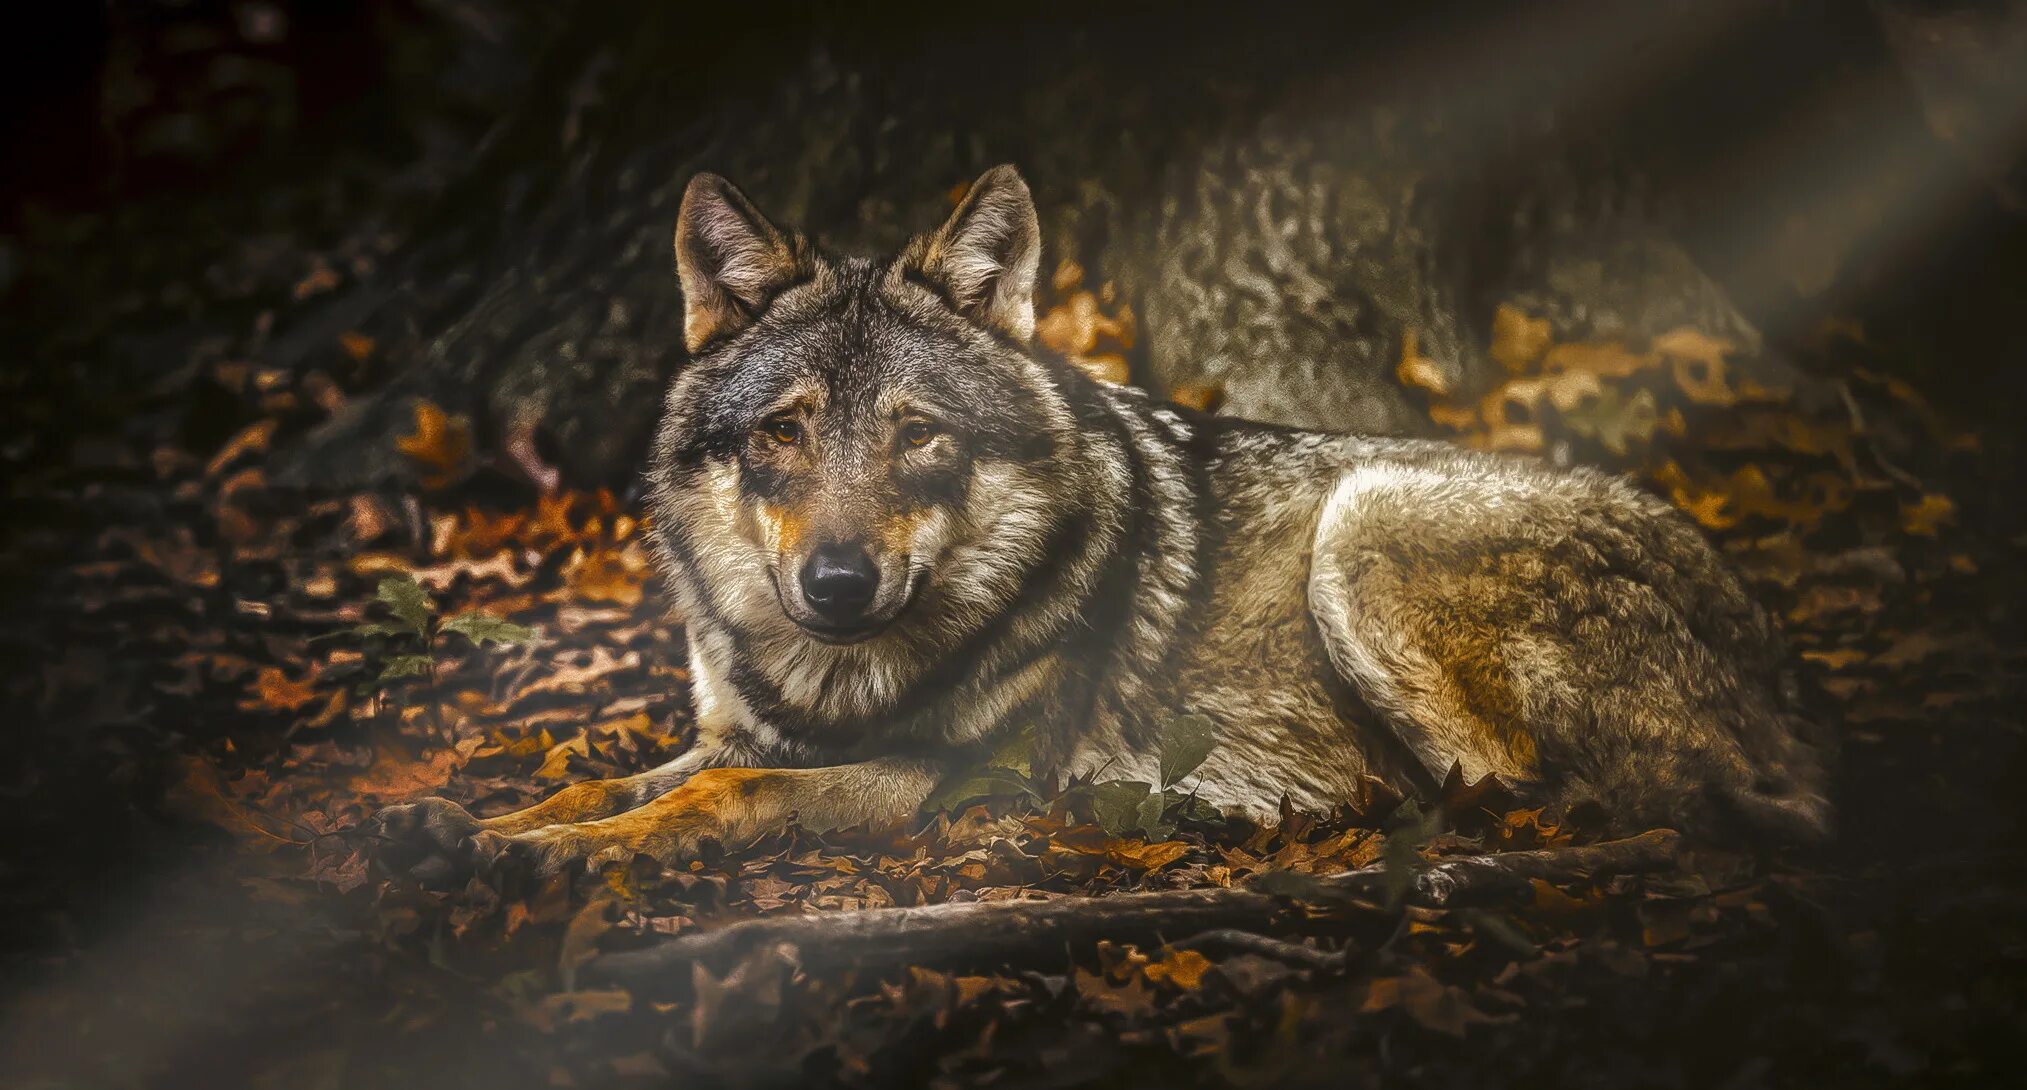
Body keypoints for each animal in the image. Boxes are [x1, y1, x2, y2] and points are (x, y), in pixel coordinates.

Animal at [368, 165, 1840, 879]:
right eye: (781, 431)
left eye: (918, 434)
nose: (836, 584)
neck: (829, 679)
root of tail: (1770, 646)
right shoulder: (747, 724)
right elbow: (626, 778)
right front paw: (487, 827)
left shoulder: (944, 778)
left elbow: (721, 797)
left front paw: (548, 862)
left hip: (1362, 525)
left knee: (1566, 802)